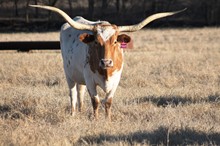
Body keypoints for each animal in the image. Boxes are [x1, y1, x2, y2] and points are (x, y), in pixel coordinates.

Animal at [29, 5, 186, 120]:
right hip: (69, 75)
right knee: (73, 94)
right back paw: (73, 114)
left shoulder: (116, 79)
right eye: (96, 42)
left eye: (115, 41)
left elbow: (108, 101)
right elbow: (96, 101)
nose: (106, 62)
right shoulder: (90, 80)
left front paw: (107, 119)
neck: (106, 73)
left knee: (80, 93)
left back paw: (80, 111)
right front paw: (96, 120)